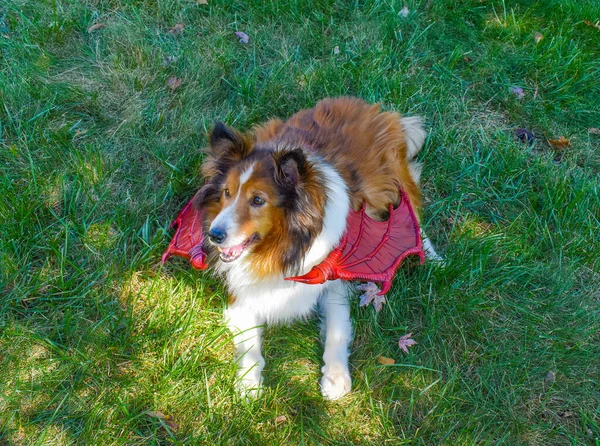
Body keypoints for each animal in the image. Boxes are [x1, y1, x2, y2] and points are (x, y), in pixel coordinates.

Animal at [195, 97, 438, 400]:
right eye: (227, 193)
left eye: (258, 200)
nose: (214, 235)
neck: (283, 248)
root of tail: (365, 105)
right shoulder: (241, 295)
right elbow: (250, 346)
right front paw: (249, 382)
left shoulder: (333, 280)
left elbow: (336, 330)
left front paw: (335, 378)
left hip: (393, 181)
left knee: (414, 218)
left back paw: (434, 258)